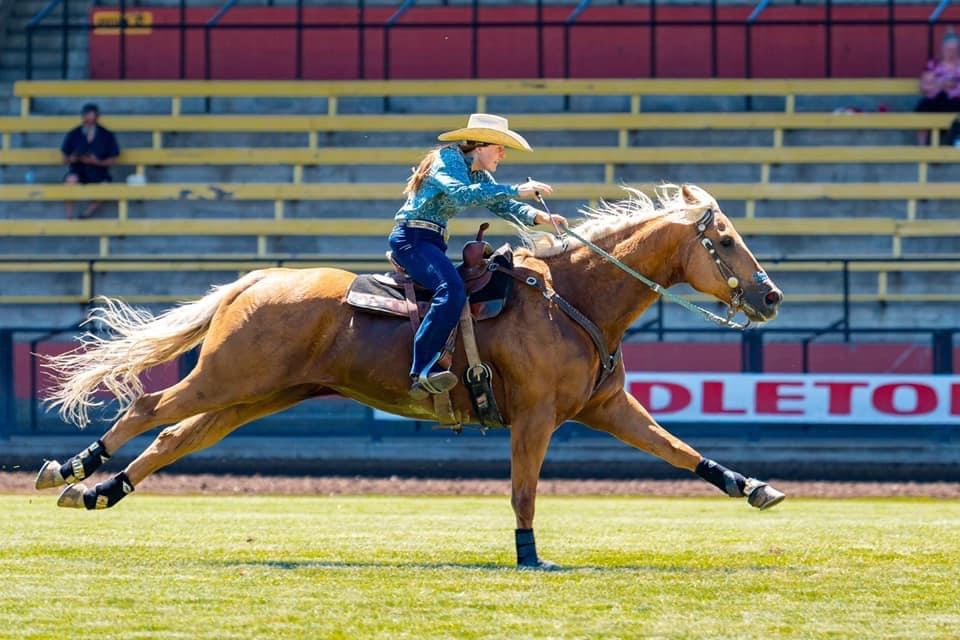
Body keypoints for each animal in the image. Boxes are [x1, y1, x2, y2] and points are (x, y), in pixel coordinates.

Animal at [34, 183, 784, 569]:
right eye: (725, 240)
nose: (771, 295)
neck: (571, 296)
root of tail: (255, 281)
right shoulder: (536, 418)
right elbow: (523, 493)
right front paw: (529, 557)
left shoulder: (607, 408)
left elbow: (680, 451)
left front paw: (754, 487)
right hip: (228, 379)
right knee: (147, 410)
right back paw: (66, 470)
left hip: (256, 394)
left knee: (174, 438)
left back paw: (98, 492)